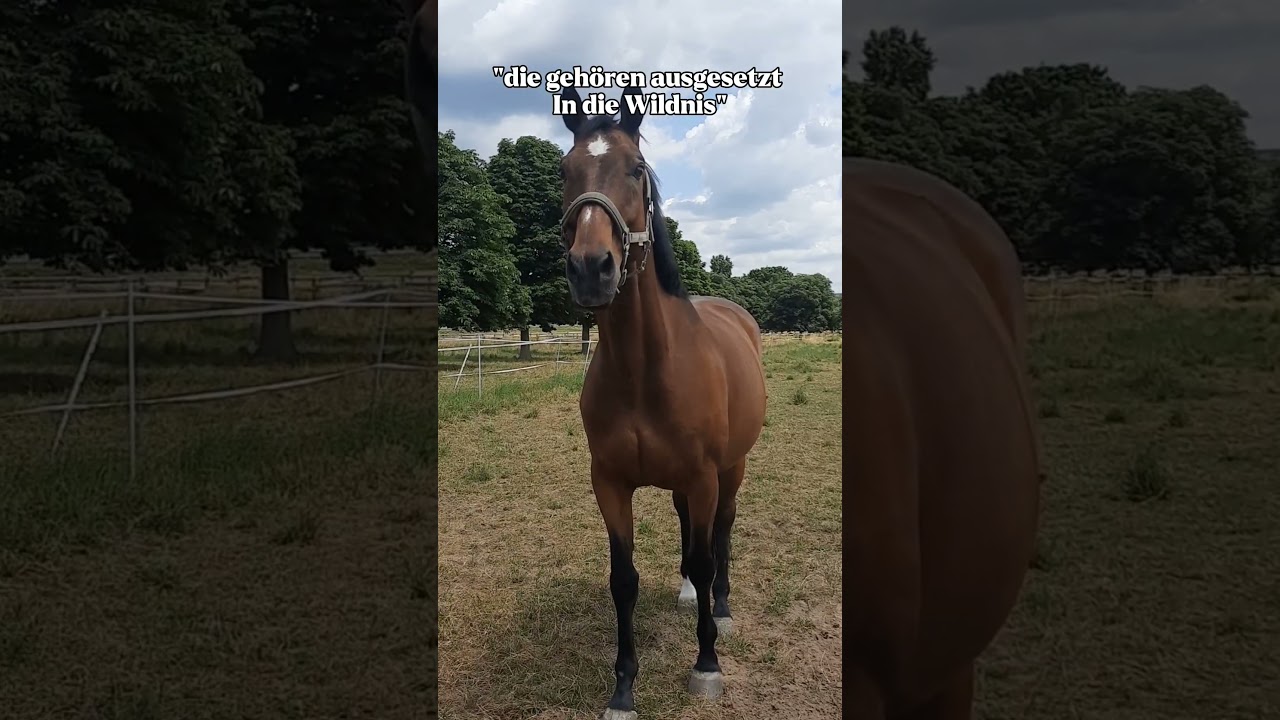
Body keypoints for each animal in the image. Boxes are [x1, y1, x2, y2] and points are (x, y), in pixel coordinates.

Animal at [555, 85, 768, 720]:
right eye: (565, 170)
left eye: (635, 169)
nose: (591, 268)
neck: (644, 371)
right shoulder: (610, 482)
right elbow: (622, 578)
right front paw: (623, 688)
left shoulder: (703, 475)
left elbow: (705, 551)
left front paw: (707, 664)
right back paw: (689, 592)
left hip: (731, 468)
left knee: (720, 532)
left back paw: (718, 603)